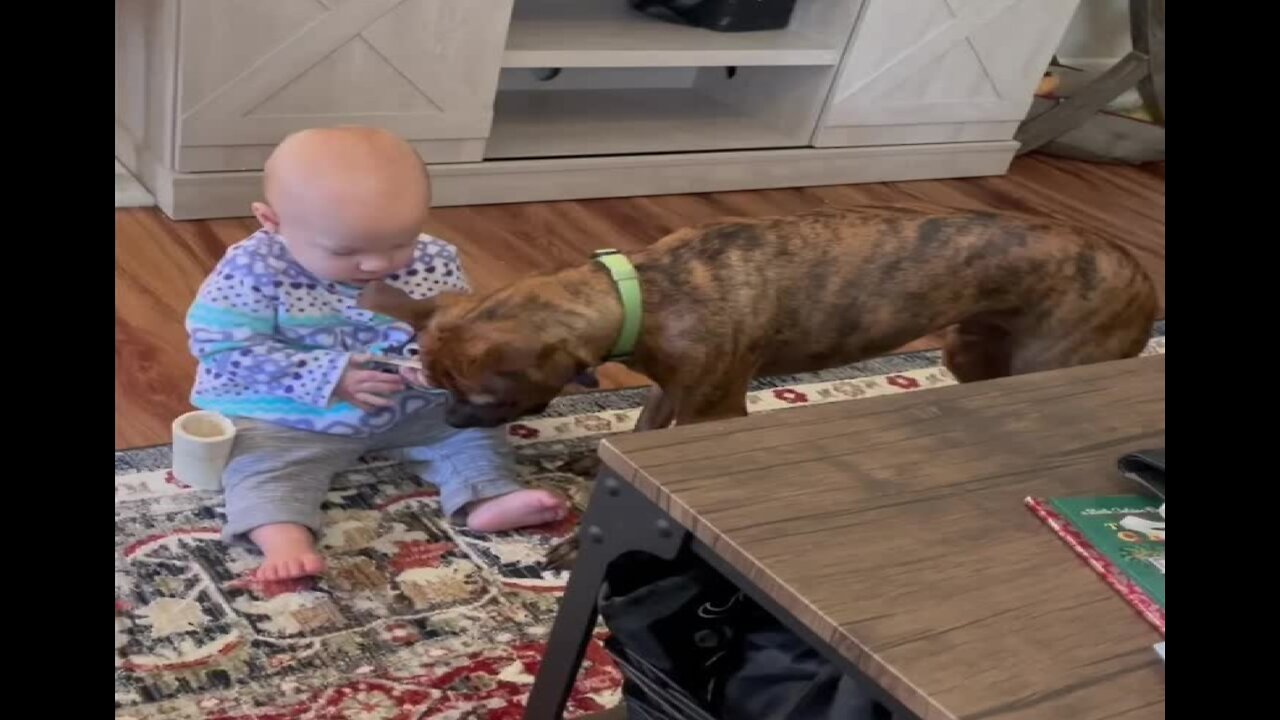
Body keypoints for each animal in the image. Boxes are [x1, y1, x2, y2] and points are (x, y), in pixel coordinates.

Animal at [360, 202, 1162, 561]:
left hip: (1051, 359)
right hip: (976, 354)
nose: (452, 421)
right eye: (438, 385)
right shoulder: (673, 389)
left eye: (483, 397)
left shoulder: (713, 408)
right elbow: (644, 428)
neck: (644, 291)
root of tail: (1140, 273)